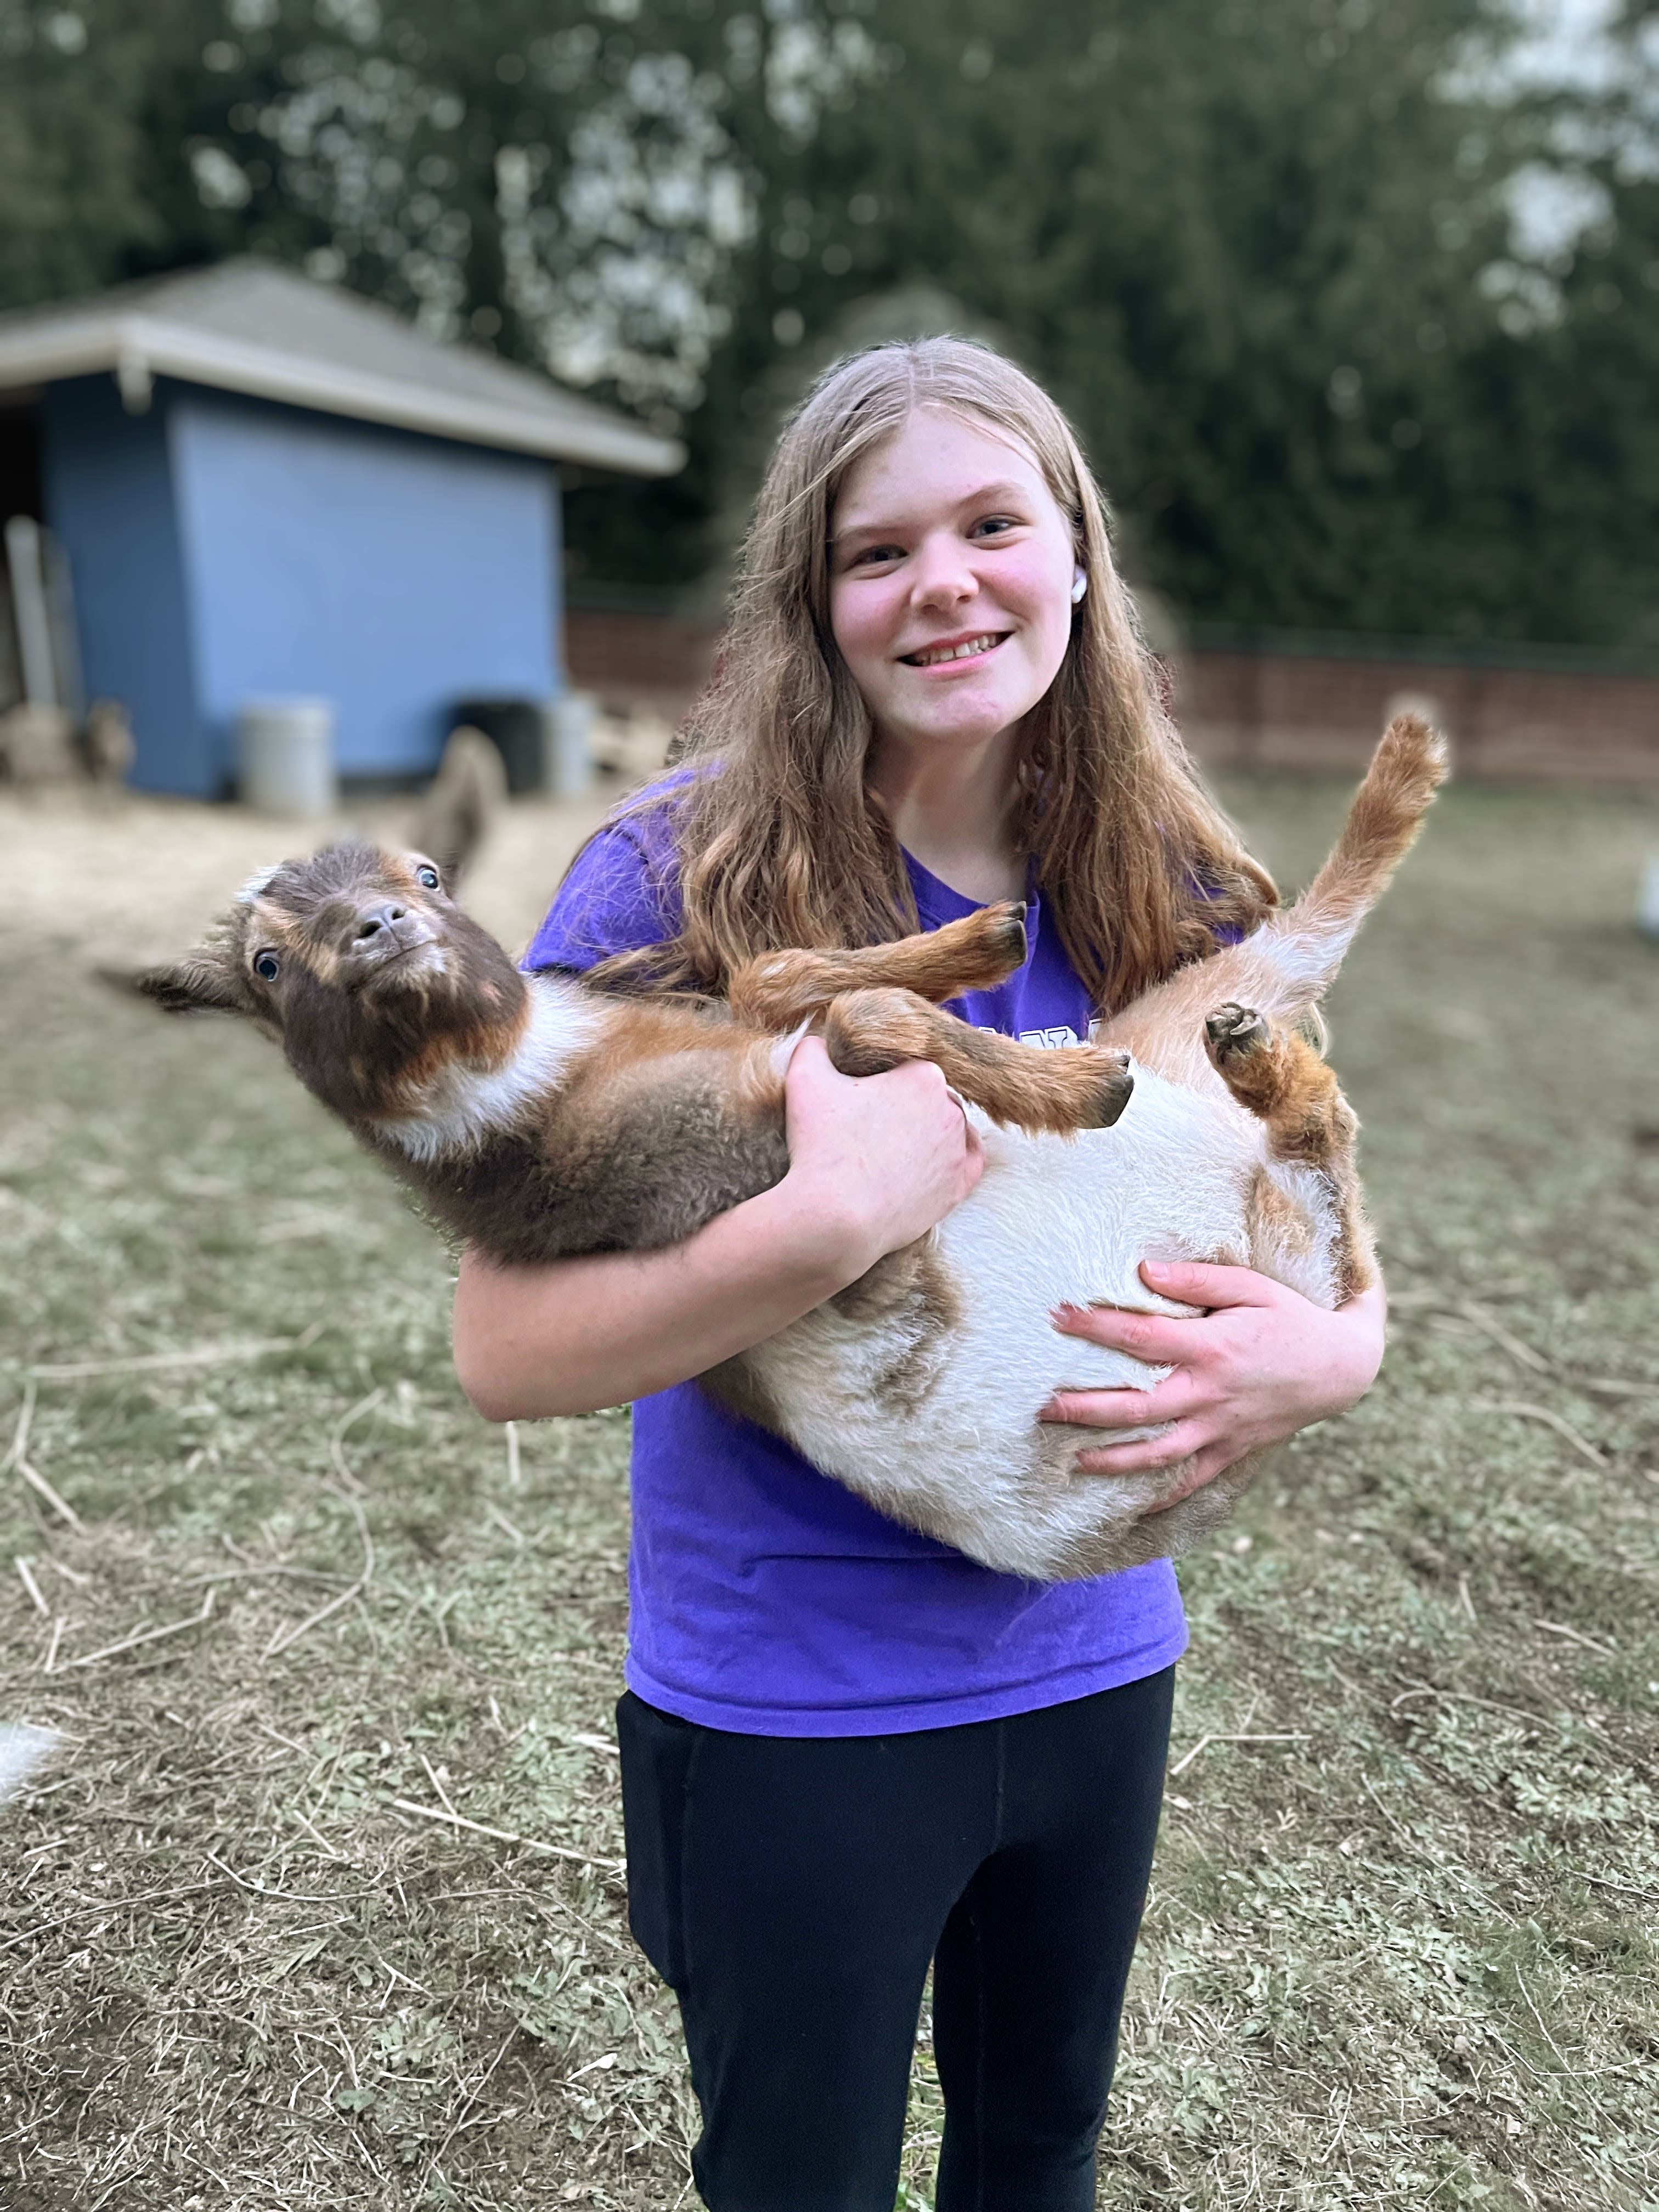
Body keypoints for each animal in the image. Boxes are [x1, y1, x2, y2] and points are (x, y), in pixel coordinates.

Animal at [139, 713, 1447, 1580]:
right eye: (269, 963)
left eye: (425, 870)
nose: (378, 930)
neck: (547, 1093)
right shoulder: (788, 1195)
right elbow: (856, 1022)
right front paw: (1071, 1085)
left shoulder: (749, 1032)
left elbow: (776, 973)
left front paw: (980, 941)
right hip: (1288, 1196)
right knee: (1321, 1118)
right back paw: (1245, 1041)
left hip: (1204, 1042)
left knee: (1297, 976)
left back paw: (1403, 767)